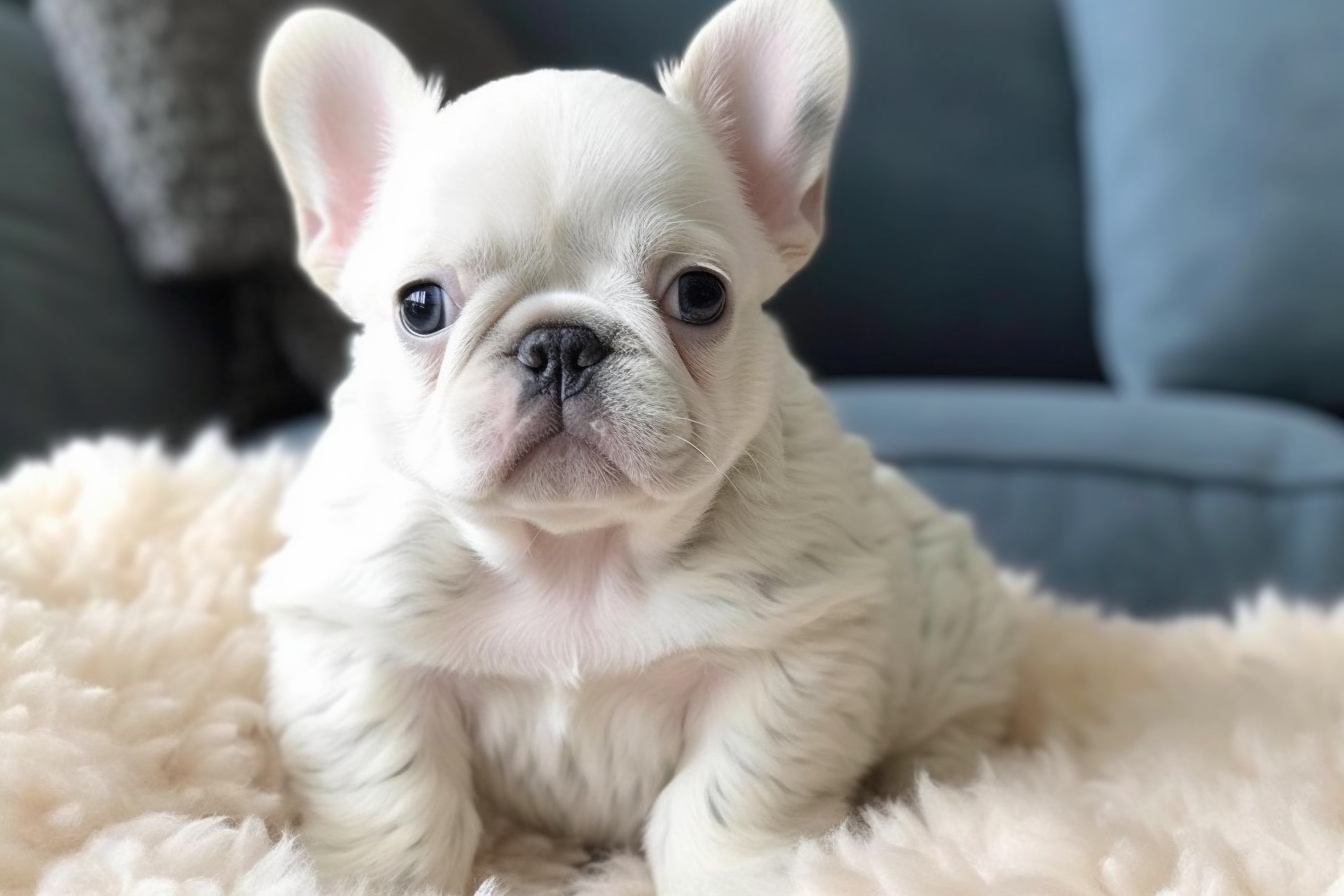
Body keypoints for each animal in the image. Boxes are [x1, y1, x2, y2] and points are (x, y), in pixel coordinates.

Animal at [252, 0, 1016, 891]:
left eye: (700, 294)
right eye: (421, 305)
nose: (559, 342)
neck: (575, 552)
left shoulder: (790, 657)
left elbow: (733, 794)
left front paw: (743, 873)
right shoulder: (357, 646)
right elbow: (394, 793)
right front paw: (381, 876)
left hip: (957, 655)